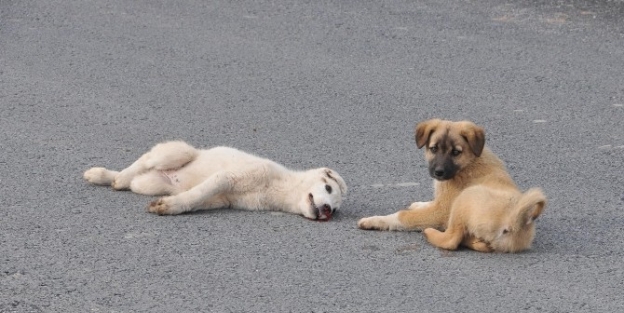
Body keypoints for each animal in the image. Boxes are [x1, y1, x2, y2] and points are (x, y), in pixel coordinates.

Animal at [82, 140, 346, 221]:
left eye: (335, 209)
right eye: (327, 187)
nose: (326, 211)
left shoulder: (222, 200)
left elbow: (195, 199)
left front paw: (172, 205)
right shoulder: (230, 177)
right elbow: (198, 192)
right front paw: (168, 206)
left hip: (149, 184)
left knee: (135, 179)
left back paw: (104, 176)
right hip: (176, 151)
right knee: (143, 161)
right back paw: (107, 176)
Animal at [358, 118, 548, 252]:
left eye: (456, 152)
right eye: (434, 149)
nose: (439, 173)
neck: (470, 161)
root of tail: (516, 220)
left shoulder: (441, 211)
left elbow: (402, 216)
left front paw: (374, 220)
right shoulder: (442, 202)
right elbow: (429, 203)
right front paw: (418, 204)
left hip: (464, 199)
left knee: (451, 240)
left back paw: (430, 233)